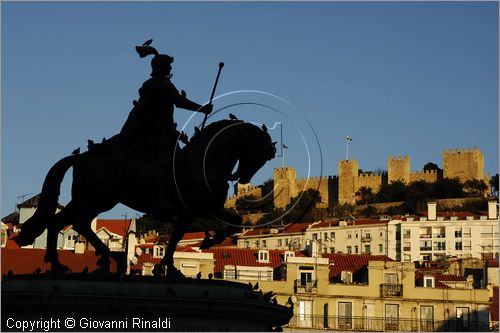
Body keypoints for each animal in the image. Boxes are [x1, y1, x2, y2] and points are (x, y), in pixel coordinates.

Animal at [16, 119, 278, 274]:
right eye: (258, 153)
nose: (242, 177)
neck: (202, 162)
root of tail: (79, 157)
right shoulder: (196, 210)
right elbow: (182, 236)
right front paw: (189, 253)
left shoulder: (197, 211)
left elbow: (230, 222)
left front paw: (200, 246)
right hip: (96, 199)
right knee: (72, 223)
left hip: (89, 200)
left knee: (64, 223)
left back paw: (74, 261)